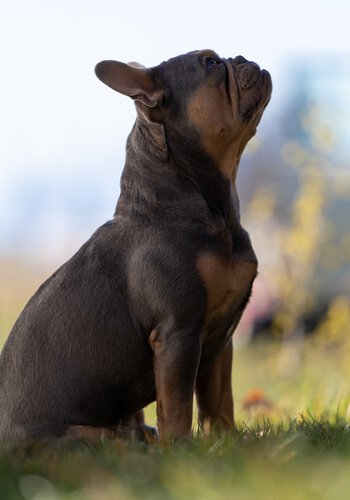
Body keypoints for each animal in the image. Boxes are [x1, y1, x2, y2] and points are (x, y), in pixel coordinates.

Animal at [0, 49, 270, 442]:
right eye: (210, 63)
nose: (241, 56)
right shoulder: (178, 334)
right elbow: (177, 406)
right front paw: (182, 449)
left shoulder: (221, 343)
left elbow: (219, 403)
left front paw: (227, 444)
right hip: (91, 436)